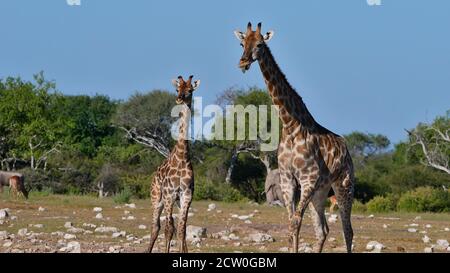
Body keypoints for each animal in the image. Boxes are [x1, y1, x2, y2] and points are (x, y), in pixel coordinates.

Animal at [147, 75, 200, 253]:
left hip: (175, 201)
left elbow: (182, 230)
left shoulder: (186, 196)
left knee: (175, 227)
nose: (179, 99)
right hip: (157, 198)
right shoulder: (169, 195)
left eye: (190, 90)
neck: (182, 156)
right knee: (156, 226)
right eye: (177, 89)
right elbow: (168, 229)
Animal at [236, 23, 356, 253]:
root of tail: (347, 152)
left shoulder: (308, 178)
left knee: (348, 229)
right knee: (323, 229)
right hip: (321, 190)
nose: (243, 62)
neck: (290, 126)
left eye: (260, 44)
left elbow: (295, 222)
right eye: (241, 43)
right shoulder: (287, 178)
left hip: (344, 185)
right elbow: (291, 222)